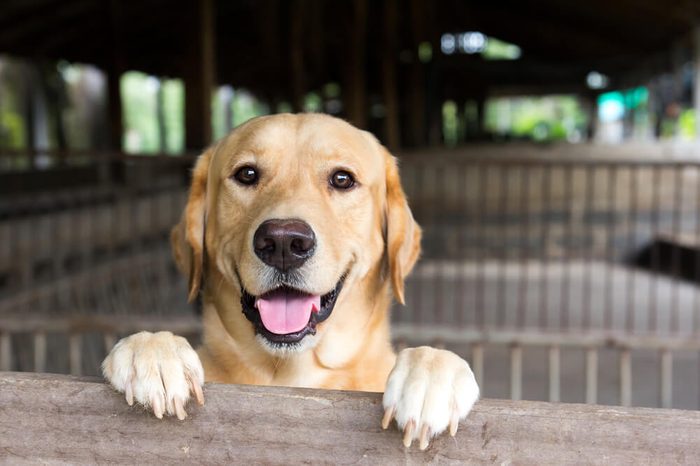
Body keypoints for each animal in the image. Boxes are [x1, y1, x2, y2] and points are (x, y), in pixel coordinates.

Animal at [101, 112, 478, 448]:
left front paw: (430, 377)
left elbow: (433, 359)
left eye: (342, 179)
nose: (283, 243)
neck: (292, 373)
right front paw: (153, 352)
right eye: (247, 174)